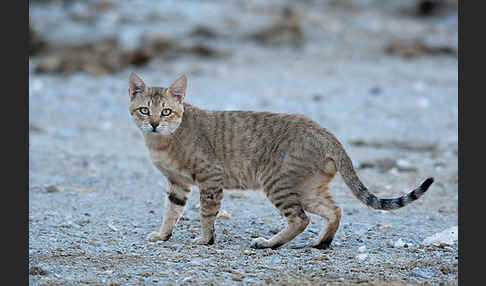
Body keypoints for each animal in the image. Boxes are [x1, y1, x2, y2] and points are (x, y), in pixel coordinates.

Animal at [128, 72, 432, 249]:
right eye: (144, 110)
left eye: (166, 112)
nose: (154, 124)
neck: (161, 143)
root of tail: (327, 134)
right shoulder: (177, 184)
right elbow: (171, 211)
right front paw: (163, 236)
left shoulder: (210, 176)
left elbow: (206, 212)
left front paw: (205, 240)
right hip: (307, 188)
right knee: (334, 210)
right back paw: (321, 243)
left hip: (276, 181)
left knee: (300, 219)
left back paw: (268, 243)